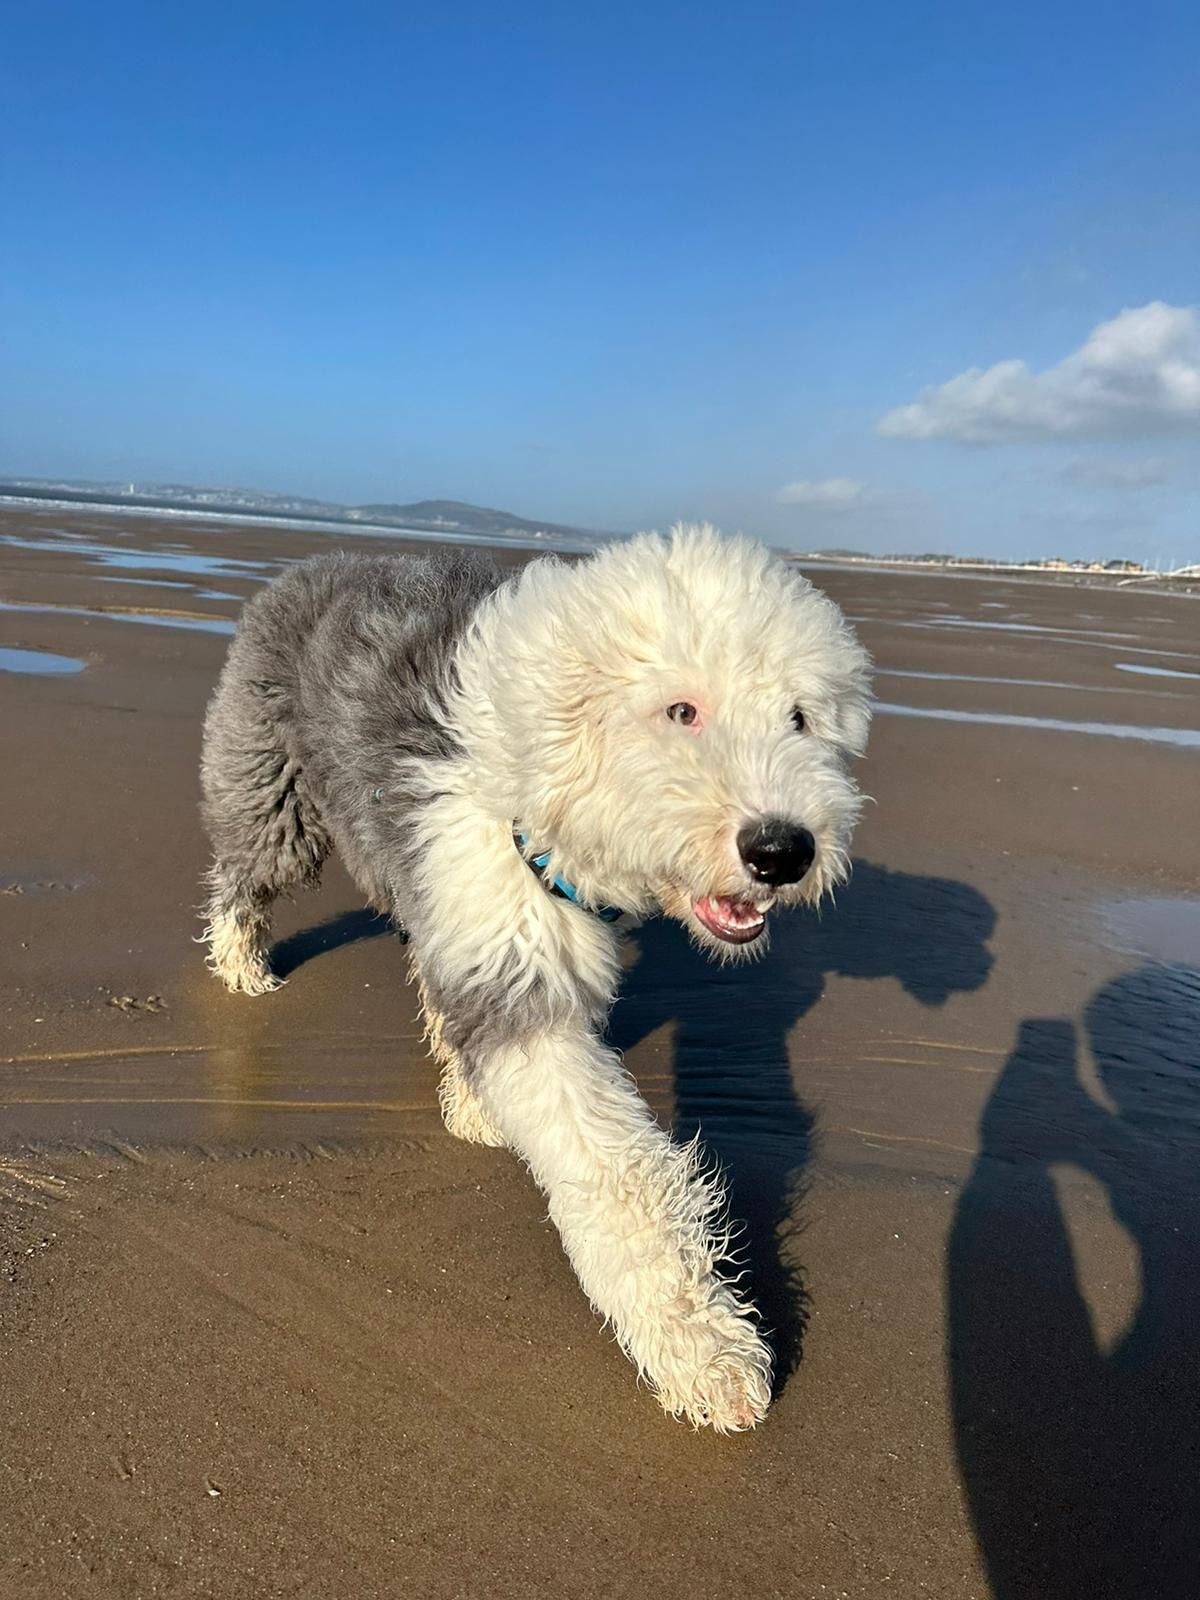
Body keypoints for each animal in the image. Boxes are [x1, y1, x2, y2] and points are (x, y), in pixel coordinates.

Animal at [200, 521, 876, 1427]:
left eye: (800, 717)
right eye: (681, 710)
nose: (783, 849)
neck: (551, 781)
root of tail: (316, 560)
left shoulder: (491, 935)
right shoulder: (514, 961)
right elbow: (618, 1174)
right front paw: (705, 1353)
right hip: (274, 788)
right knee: (245, 873)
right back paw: (241, 966)